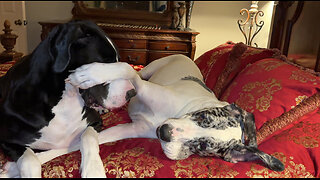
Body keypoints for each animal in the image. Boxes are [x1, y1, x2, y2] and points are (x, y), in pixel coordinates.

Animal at [64, 53, 282, 173]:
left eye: (203, 145)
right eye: (203, 117)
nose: (164, 132)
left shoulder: (131, 129)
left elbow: (86, 139)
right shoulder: (143, 86)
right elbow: (127, 69)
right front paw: (88, 74)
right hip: (151, 69)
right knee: (133, 71)